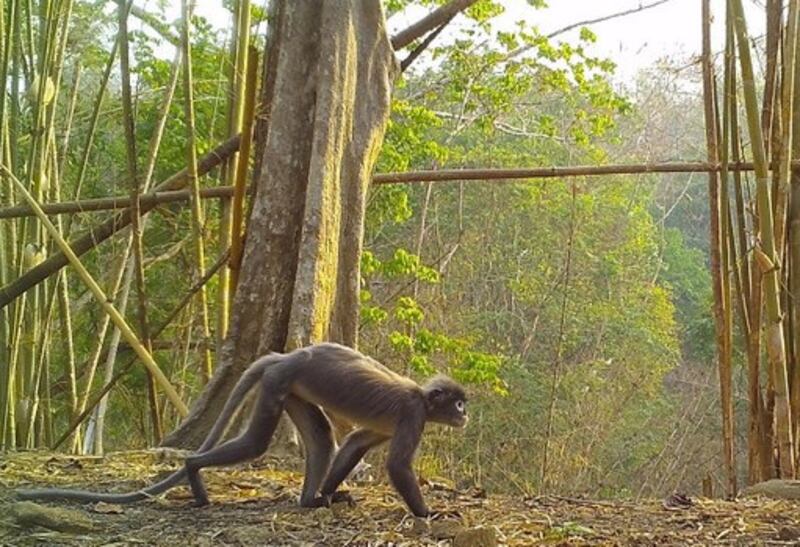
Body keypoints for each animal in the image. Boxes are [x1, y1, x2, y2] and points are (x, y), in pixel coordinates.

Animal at [15, 342, 468, 520]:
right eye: (459, 403)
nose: (465, 415)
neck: (423, 398)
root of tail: (288, 355)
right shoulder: (413, 414)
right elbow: (397, 466)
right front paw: (431, 513)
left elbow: (356, 442)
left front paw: (329, 494)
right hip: (279, 382)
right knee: (255, 443)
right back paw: (193, 471)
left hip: (289, 387)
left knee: (322, 437)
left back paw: (310, 500)